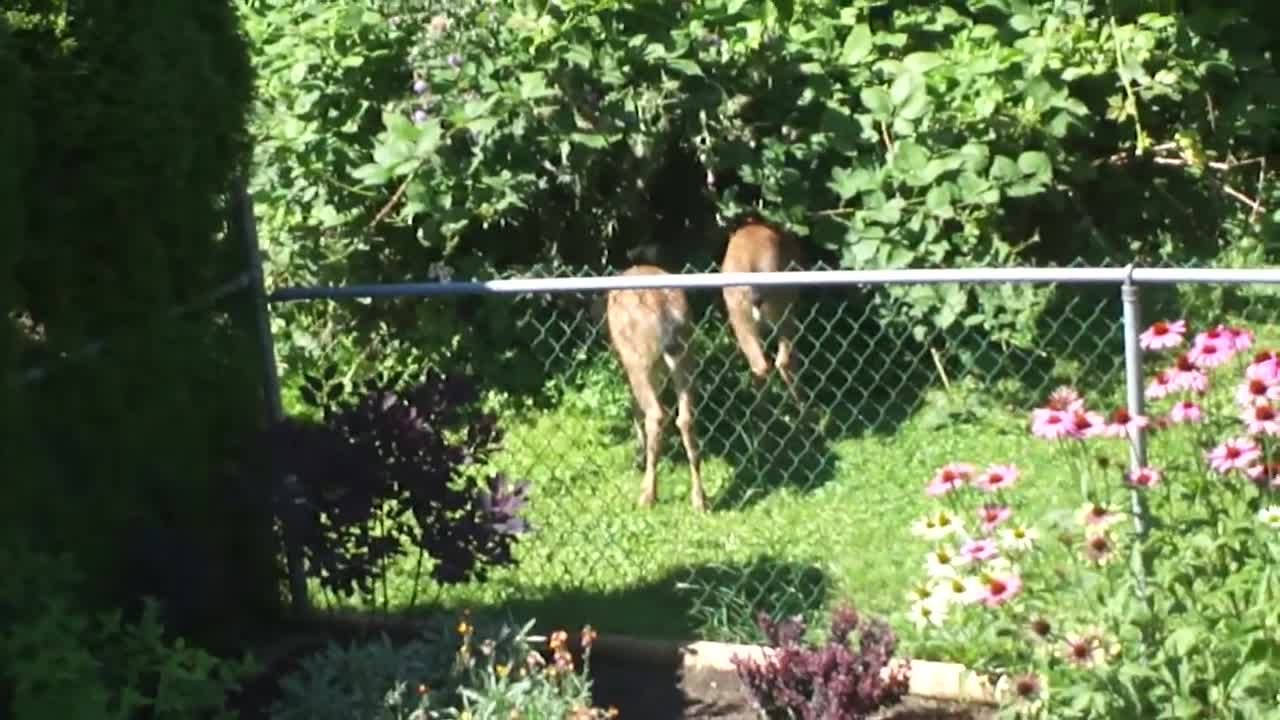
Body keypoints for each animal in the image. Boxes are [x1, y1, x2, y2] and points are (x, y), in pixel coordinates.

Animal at [601, 263, 706, 509]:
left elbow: (635, 407)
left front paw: (638, 456)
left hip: (639, 359)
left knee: (655, 414)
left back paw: (647, 494)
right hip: (685, 355)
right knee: (685, 418)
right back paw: (700, 499)